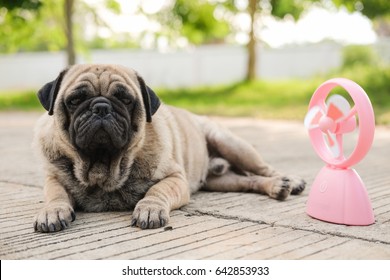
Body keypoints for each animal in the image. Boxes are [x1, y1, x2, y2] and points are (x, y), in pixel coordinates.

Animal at [32, 64, 304, 233]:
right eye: (75, 100)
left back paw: (287, 182)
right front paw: (52, 212)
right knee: (248, 181)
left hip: (232, 144)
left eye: (126, 100)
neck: (103, 166)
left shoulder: (175, 179)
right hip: (223, 181)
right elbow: (56, 195)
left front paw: (150, 209)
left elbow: (157, 191)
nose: (101, 107)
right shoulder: (53, 178)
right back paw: (275, 187)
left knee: (264, 169)